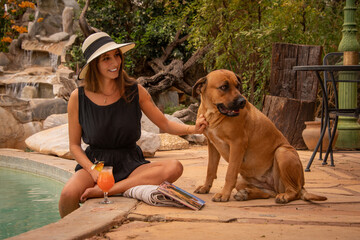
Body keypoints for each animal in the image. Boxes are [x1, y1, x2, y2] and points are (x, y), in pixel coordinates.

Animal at [193, 69, 328, 202]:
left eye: (238, 86)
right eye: (223, 87)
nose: (242, 101)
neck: (212, 113)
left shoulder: (237, 143)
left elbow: (230, 174)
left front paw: (223, 194)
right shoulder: (213, 145)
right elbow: (210, 169)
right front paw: (205, 187)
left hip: (282, 152)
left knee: (294, 191)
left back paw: (284, 196)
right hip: (243, 180)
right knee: (267, 194)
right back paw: (245, 194)